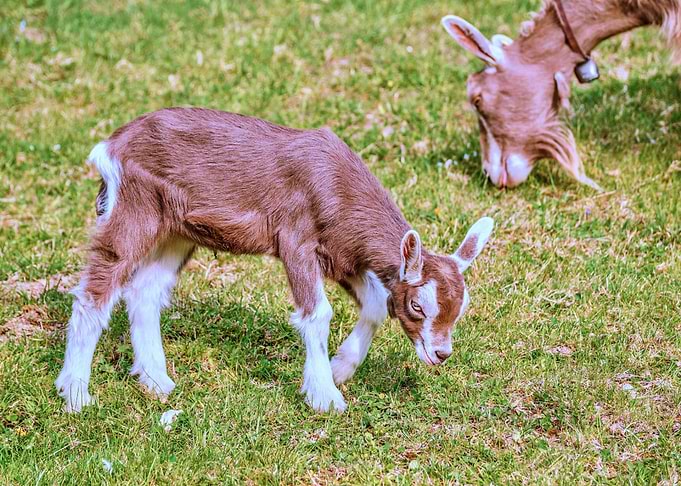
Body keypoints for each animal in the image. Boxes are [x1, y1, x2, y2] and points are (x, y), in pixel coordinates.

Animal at [56, 108, 494, 413]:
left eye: (461, 308)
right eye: (419, 305)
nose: (440, 353)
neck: (340, 187)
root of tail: (111, 146)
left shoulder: (342, 254)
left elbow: (375, 302)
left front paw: (339, 369)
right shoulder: (296, 240)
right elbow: (317, 314)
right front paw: (324, 396)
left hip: (177, 231)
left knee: (144, 292)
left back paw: (155, 381)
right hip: (134, 208)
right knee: (96, 291)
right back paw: (75, 393)